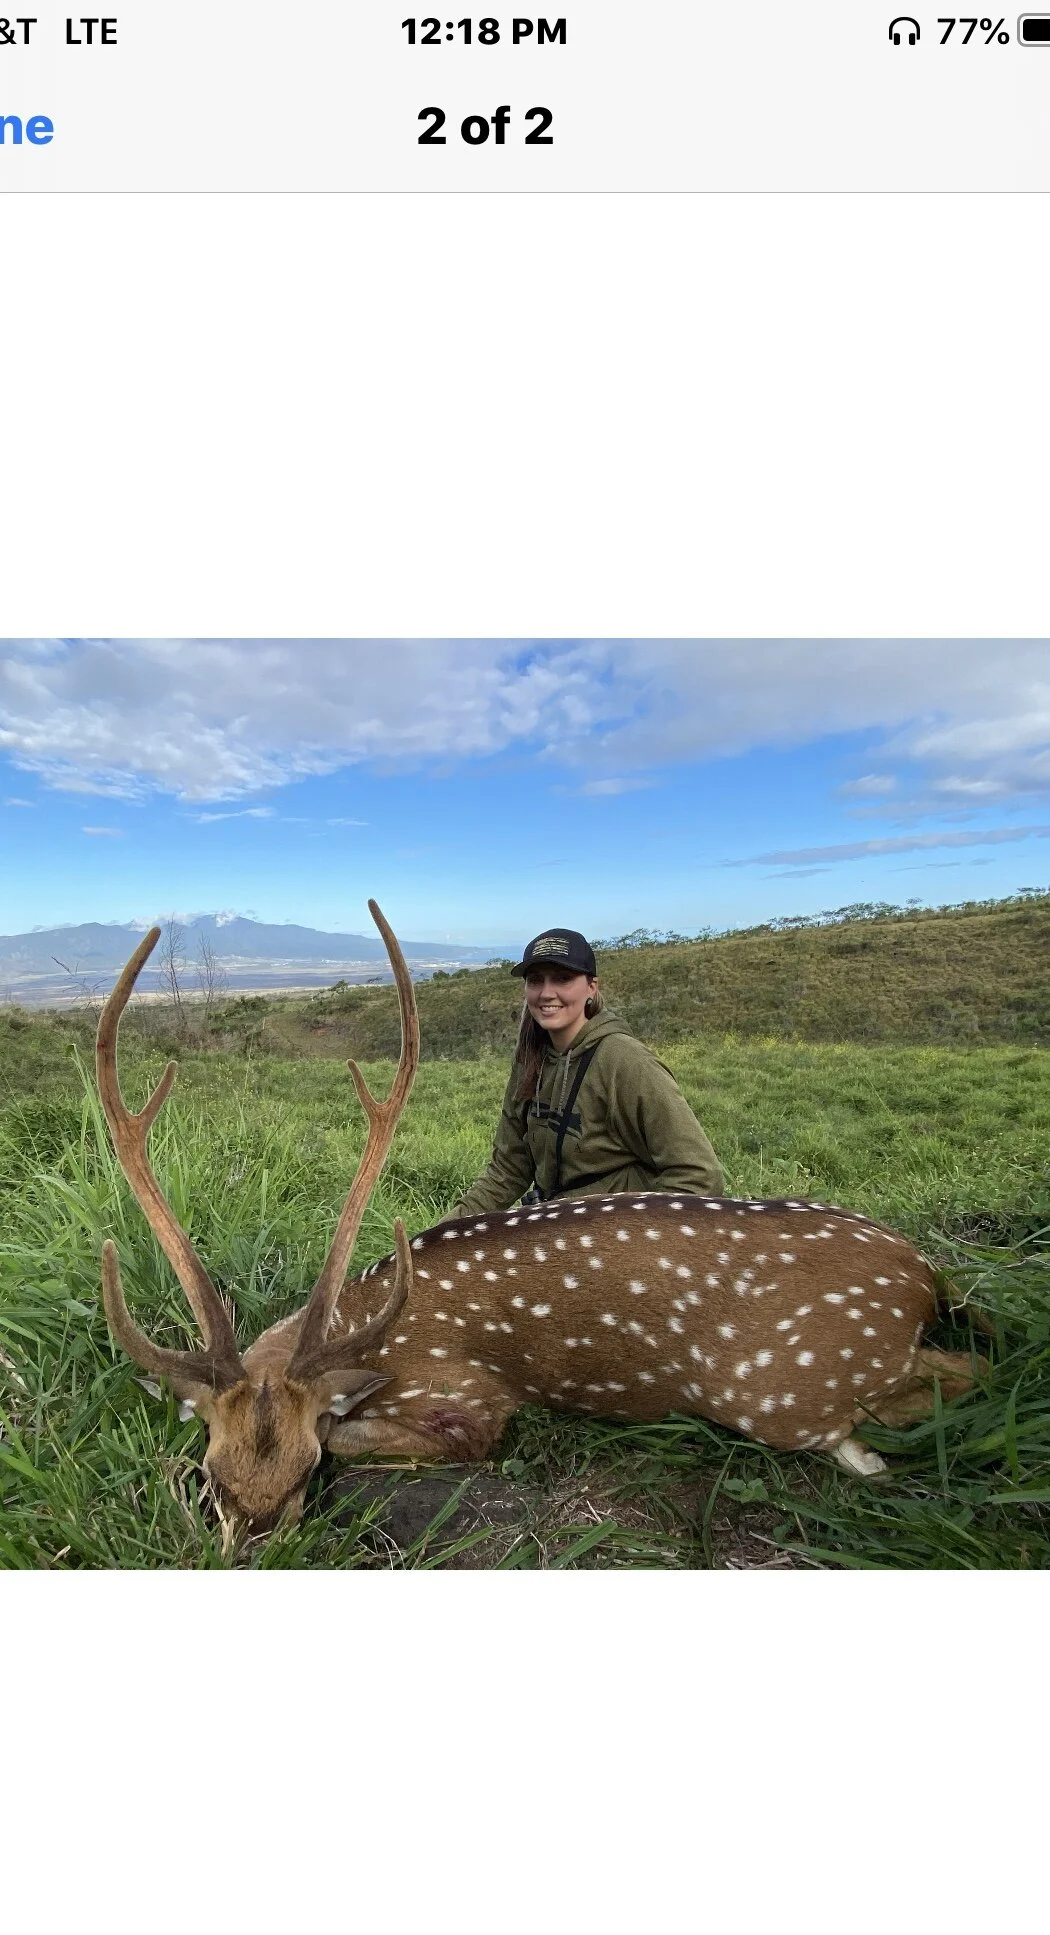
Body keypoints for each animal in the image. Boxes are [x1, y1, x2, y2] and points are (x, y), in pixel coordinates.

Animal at [96, 900, 982, 1532]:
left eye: (309, 1468)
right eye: (214, 1474)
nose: (251, 1539)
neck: (372, 1328)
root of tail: (927, 1274)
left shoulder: (469, 1398)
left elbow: (400, 1431)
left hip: (785, 1382)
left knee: (964, 1373)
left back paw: (867, 1453)